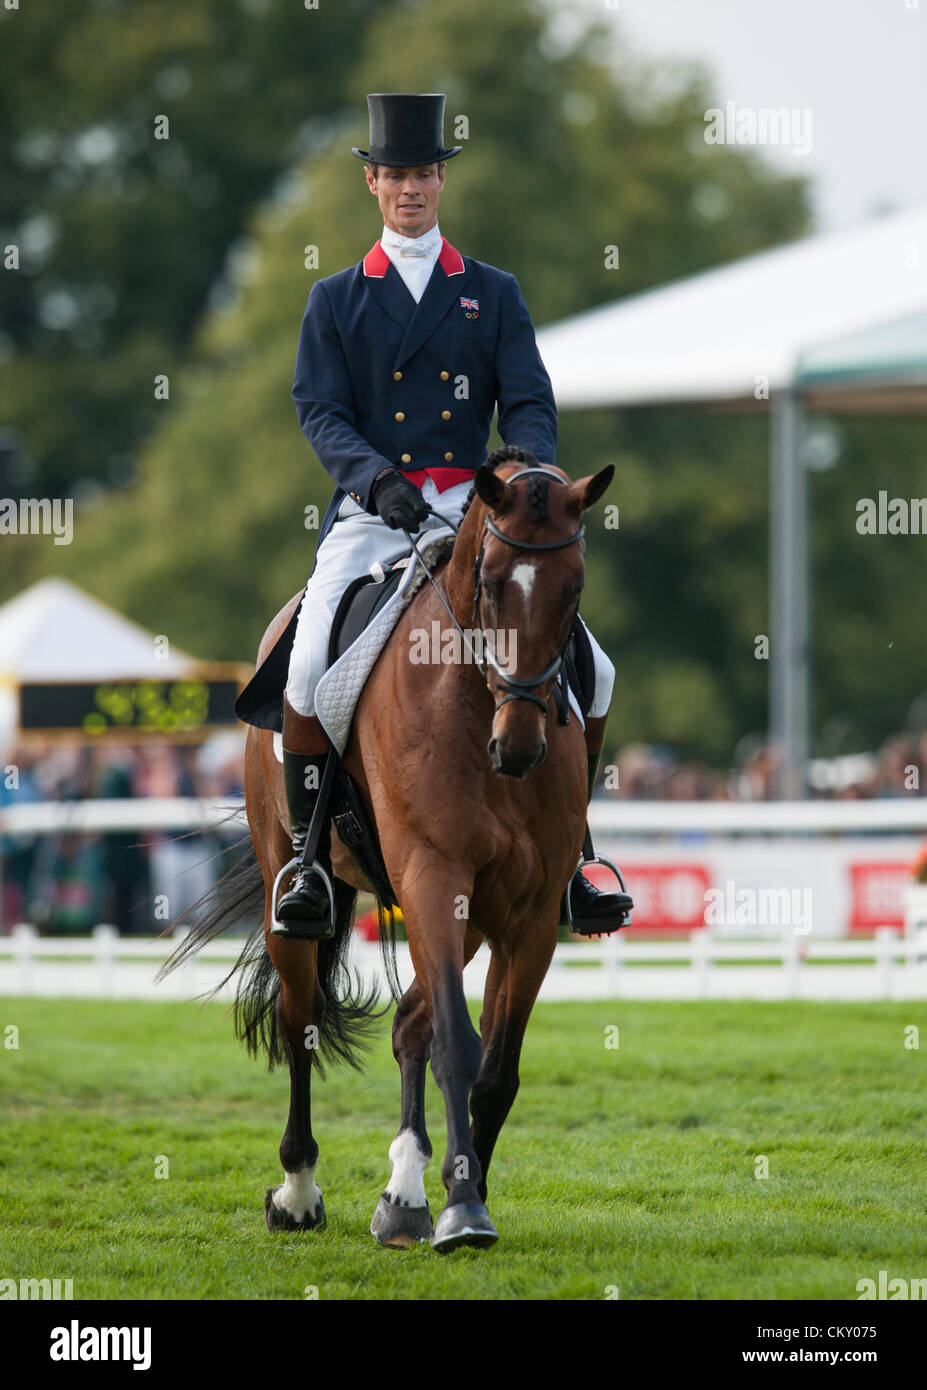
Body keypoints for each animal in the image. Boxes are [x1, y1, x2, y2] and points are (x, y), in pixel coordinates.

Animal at [164, 453, 617, 1251]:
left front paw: (467, 1192)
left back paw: (403, 1194)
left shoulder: (528, 916)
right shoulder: (434, 877)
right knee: (302, 1020)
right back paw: (299, 1192)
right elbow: (458, 1047)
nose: (519, 747)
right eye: (491, 581)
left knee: (410, 1022)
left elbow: (495, 1067)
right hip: (303, 887)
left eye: (575, 590)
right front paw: (463, 1211)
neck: (472, 702)